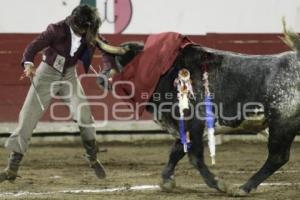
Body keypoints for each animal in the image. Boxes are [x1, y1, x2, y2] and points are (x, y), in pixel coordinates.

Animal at [110, 37, 300, 195]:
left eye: (123, 62)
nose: (105, 79)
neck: (167, 72)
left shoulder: (194, 122)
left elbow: (194, 157)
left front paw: (218, 184)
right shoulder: (184, 127)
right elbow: (176, 151)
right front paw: (166, 181)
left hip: (282, 124)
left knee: (277, 157)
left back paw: (244, 188)